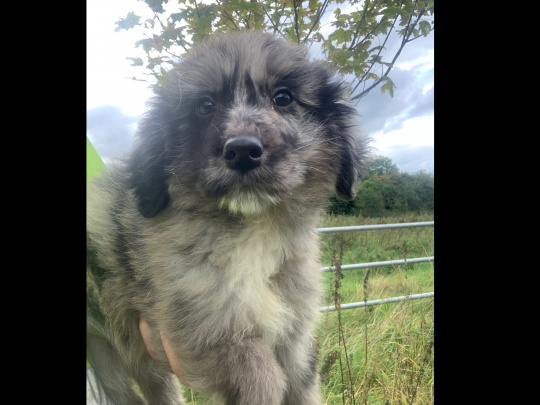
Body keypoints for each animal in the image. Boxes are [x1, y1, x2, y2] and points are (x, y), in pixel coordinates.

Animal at [86, 31, 370, 404]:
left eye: (283, 98)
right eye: (205, 106)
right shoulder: (206, 329)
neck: (253, 234)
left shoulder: (294, 337)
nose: (242, 151)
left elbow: (302, 387)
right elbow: (263, 378)